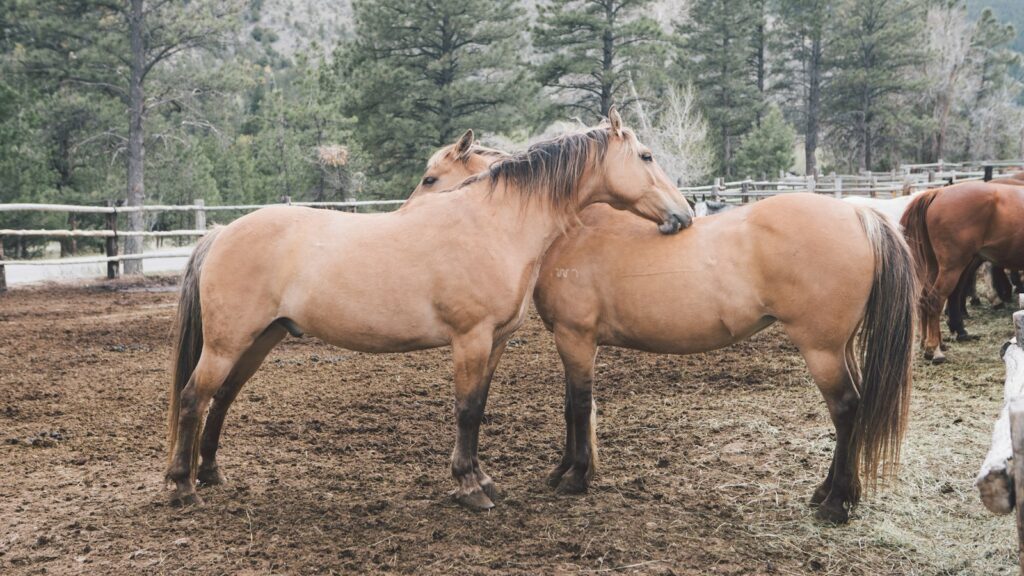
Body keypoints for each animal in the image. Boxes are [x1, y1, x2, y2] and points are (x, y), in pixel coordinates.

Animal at [164, 109, 692, 510]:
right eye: (646, 156)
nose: (683, 214)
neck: (494, 224)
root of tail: (220, 233)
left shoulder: (495, 341)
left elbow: (478, 407)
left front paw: (481, 479)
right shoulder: (470, 338)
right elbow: (466, 410)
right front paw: (470, 488)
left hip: (258, 340)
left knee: (221, 398)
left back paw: (210, 473)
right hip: (228, 343)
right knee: (193, 398)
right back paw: (182, 488)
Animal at [412, 140, 917, 524]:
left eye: (431, 178)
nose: (410, 218)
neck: (574, 231)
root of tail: (859, 216)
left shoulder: (575, 338)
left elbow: (579, 407)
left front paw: (575, 477)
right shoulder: (576, 343)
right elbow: (572, 408)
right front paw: (565, 471)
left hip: (821, 349)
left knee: (846, 410)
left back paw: (835, 503)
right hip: (839, 346)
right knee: (854, 407)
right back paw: (830, 492)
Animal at [901, 181, 1024, 363]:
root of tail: (938, 192)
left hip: (935, 267)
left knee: (925, 299)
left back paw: (930, 343)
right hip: (952, 267)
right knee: (935, 300)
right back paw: (934, 349)